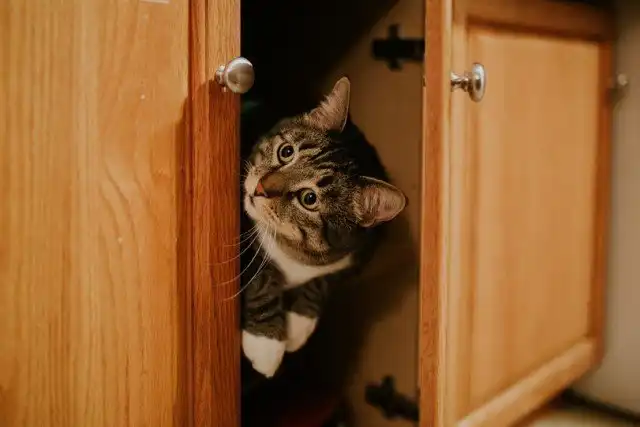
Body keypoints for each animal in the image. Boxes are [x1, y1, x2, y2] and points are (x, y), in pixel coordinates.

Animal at [240, 77, 407, 378]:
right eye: (286, 152)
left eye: (309, 198)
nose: (259, 189)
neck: (295, 252)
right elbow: (262, 276)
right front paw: (266, 346)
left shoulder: (362, 251)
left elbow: (324, 281)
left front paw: (298, 326)